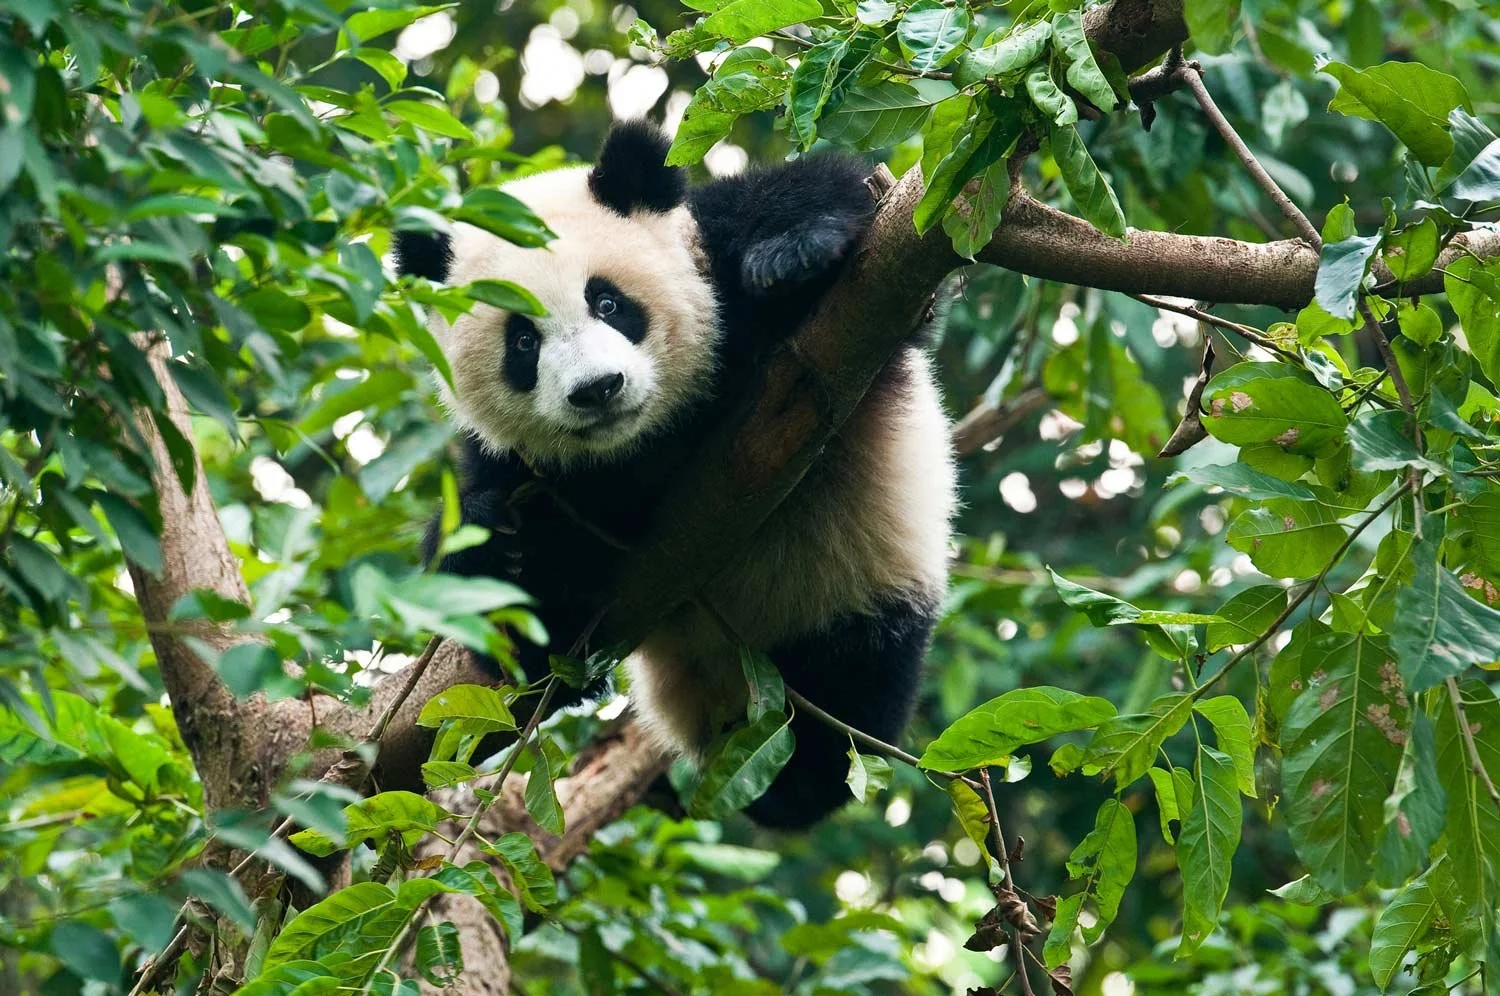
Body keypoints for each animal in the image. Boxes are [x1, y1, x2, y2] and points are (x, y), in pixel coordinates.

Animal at [397, 121, 956, 829]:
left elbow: (834, 198)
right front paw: (496, 541)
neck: (651, 438)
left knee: (845, 703)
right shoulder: (522, 465)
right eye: (522, 342)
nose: (598, 389)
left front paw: (792, 251)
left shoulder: (730, 266)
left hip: (856, 591)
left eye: (608, 302)